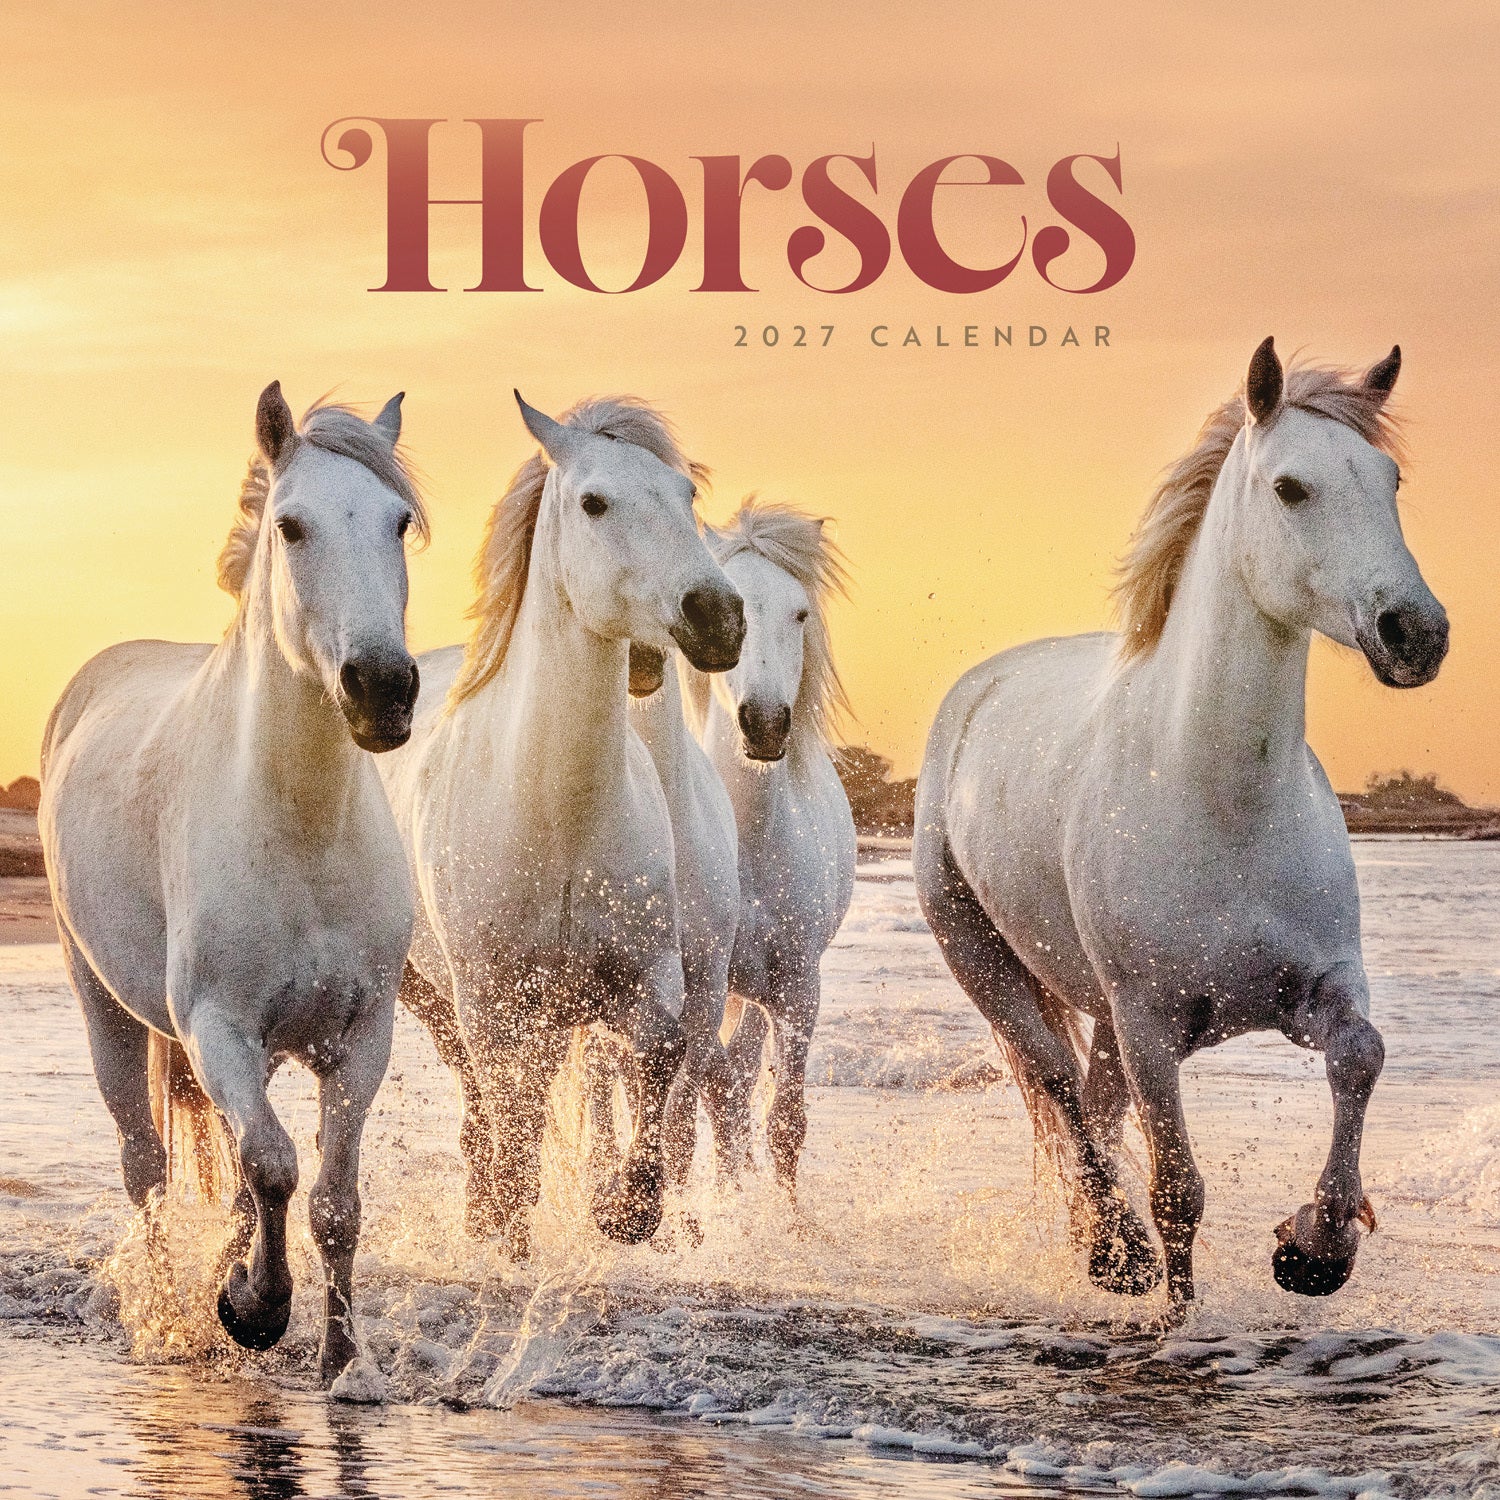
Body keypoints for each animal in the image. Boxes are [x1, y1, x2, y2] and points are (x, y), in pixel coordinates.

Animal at [40, 383, 425, 1381]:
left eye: (399, 522)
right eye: (291, 526)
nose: (383, 688)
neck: (300, 831)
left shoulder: (361, 1037)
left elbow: (330, 1200)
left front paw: (342, 1362)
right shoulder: (217, 1028)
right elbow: (277, 1168)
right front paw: (254, 1309)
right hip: (105, 1005)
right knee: (146, 1166)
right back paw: (171, 1317)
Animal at [377, 393, 744, 1257]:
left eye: (686, 496)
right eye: (594, 503)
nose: (718, 616)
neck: (559, 817)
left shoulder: (649, 977)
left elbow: (660, 1055)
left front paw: (626, 1209)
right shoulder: (491, 999)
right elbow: (512, 1111)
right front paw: (513, 1226)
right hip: (435, 997)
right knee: (486, 1103)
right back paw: (487, 1218)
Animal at [914, 339, 1448, 1313]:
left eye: (1389, 478)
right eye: (1290, 488)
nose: (1415, 633)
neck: (1221, 804)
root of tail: (977, 690)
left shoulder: (1316, 988)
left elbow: (1361, 1055)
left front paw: (1315, 1248)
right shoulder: (1152, 1024)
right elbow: (1178, 1192)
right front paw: (1178, 1311)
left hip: (1103, 1014)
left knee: (1093, 1102)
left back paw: (1098, 1244)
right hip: (986, 960)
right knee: (1058, 1085)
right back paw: (1114, 1250)